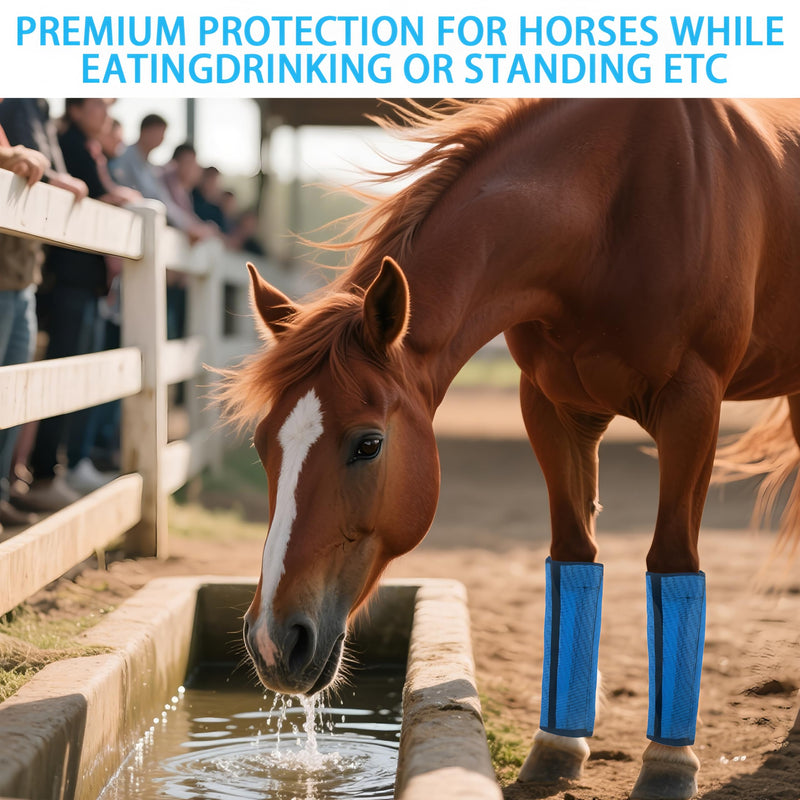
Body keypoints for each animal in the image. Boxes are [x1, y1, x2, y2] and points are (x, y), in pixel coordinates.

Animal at [221, 99, 800, 800]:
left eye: (368, 444)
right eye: (262, 445)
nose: (274, 642)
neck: (614, 207)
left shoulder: (694, 404)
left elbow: (672, 560)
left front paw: (668, 761)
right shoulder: (552, 409)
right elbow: (573, 555)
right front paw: (557, 747)